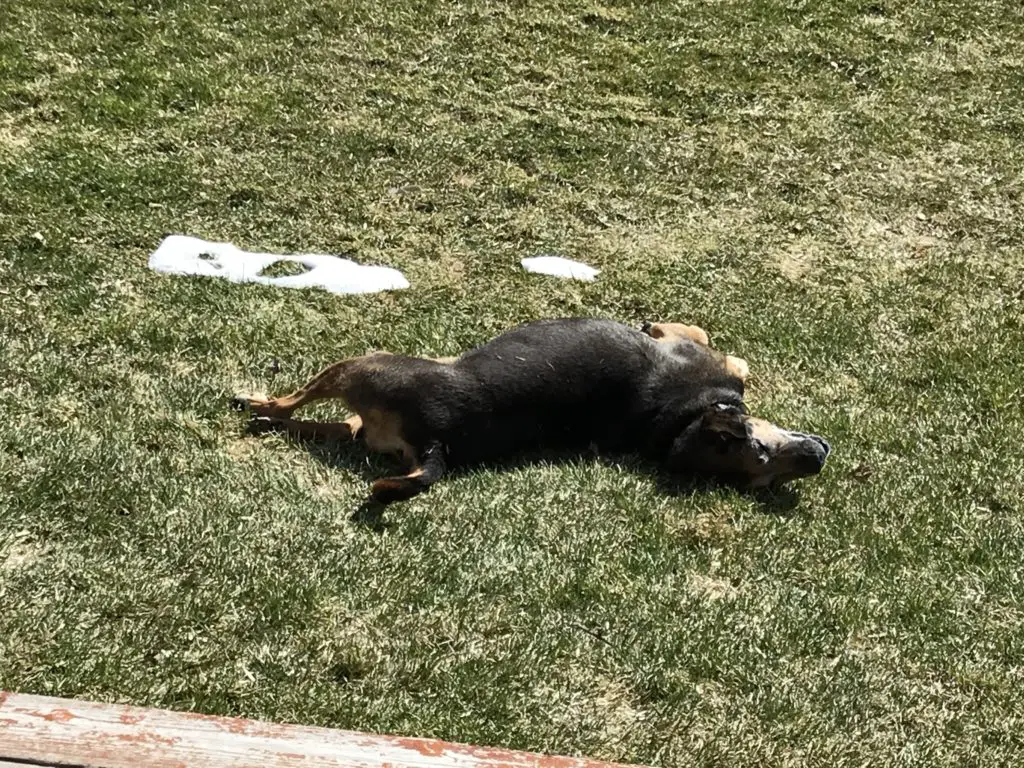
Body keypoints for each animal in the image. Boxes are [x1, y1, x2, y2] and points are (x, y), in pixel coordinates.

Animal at [234, 319, 831, 505]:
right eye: (764, 468)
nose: (819, 455)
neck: (681, 419)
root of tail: (437, 444)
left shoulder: (705, 351)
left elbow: (718, 344)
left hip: (362, 365)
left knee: (297, 403)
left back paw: (256, 402)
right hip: (363, 409)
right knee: (322, 422)